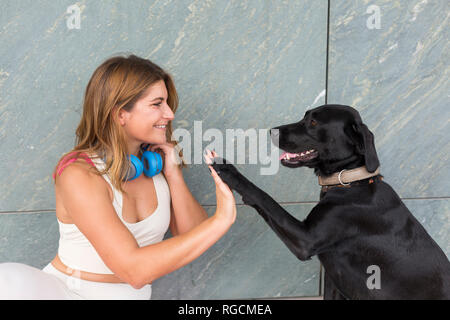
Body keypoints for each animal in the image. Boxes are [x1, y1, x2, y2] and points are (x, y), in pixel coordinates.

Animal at [212, 104, 450, 298]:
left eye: (314, 122)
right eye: (305, 116)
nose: (272, 130)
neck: (349, 181)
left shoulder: (305, 240)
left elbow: (265, 198)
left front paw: (230, 172)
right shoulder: (333, 281)